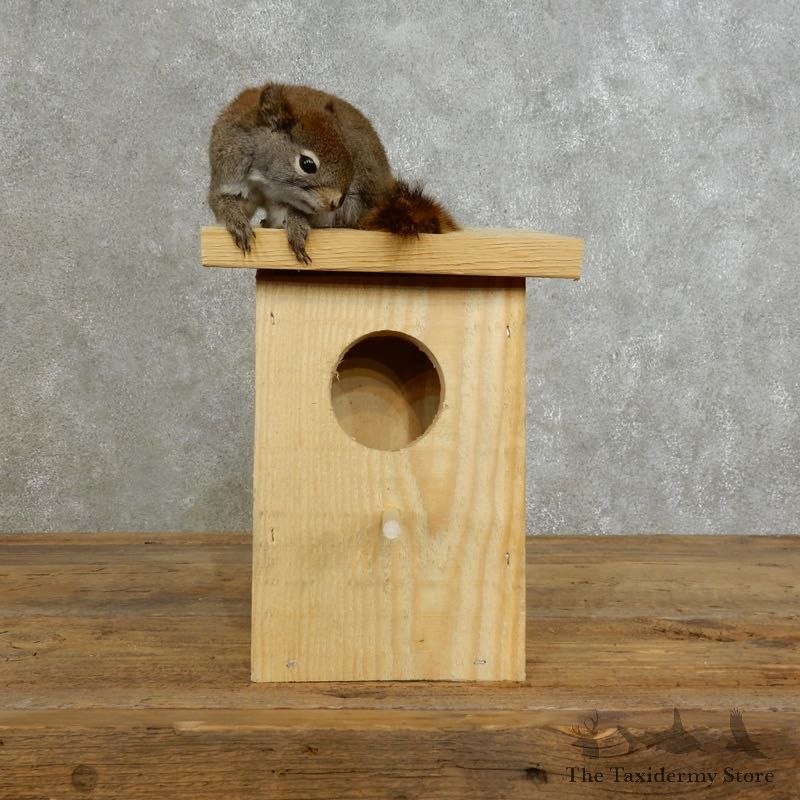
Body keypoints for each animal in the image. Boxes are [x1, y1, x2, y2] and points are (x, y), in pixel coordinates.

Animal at [208, 82, 459, 263]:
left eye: (347, 152)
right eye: (307, 164)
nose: (337, 201)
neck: (267, 181)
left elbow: (292, 213)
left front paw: (296, 228)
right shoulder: (230, 170)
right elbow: (224, 202)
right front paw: (238, 223)